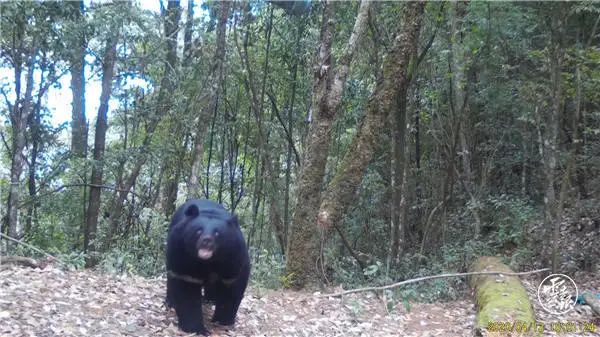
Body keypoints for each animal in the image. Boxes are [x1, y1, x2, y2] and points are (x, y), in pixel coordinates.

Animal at [165, 200, 250, 334]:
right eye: (199, 231)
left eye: (217, 233)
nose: (207, 241)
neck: (209, 262)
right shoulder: (182, 257)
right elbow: (187, 291)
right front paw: (197, 329)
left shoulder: (234, 260)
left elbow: (231, 289)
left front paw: (223, 321)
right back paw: (170, 302)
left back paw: (210, 299)